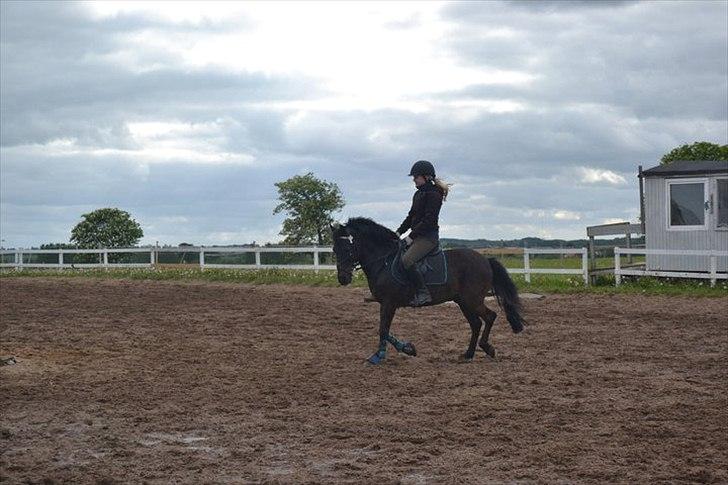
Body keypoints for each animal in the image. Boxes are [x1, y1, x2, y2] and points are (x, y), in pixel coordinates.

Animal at [332, 218, 528, 364]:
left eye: (348, 248)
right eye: (334, 249)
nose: (343, 279)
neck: (383, 261)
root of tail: (486, 260)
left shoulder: (389, 303)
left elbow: (383, 330)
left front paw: (382, 355)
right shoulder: (385, 303)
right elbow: (384, 330)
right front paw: (403, 349)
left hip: (472, 300)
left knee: (489, 317)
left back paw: (487, 348)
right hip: (463, 302)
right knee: (476, 323)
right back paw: (468, 354)